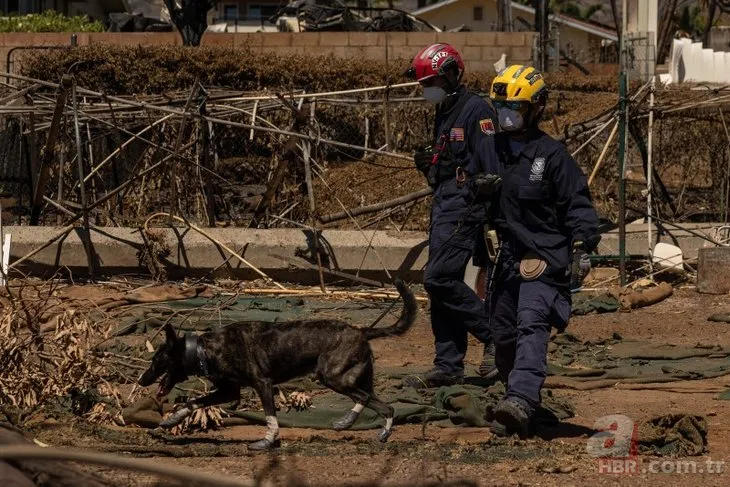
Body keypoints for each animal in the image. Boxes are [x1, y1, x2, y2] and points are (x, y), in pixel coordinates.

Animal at [140, 280, 418, 452]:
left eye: (156, 361)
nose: (141, 380)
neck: (203, 350)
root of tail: (362, 330)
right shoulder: (228, 391)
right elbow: (193, 402)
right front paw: (172, 419)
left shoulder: (262, 384)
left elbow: (271, 418)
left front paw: (266, 443)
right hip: (354, 378)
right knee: (378, 402)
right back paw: (363, 426)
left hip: (333, 377)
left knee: (375, 402)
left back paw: (365, 427)